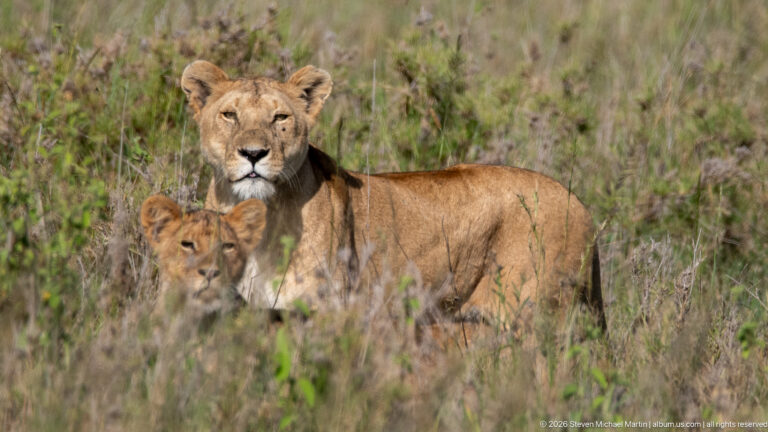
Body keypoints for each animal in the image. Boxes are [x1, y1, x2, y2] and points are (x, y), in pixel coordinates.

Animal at [180, 60, 605, 340]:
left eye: (280, 118)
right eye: (229, 115)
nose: (253, 154)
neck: (264, 216)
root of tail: (579, 203)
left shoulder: (326, 313)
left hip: (539, 320)